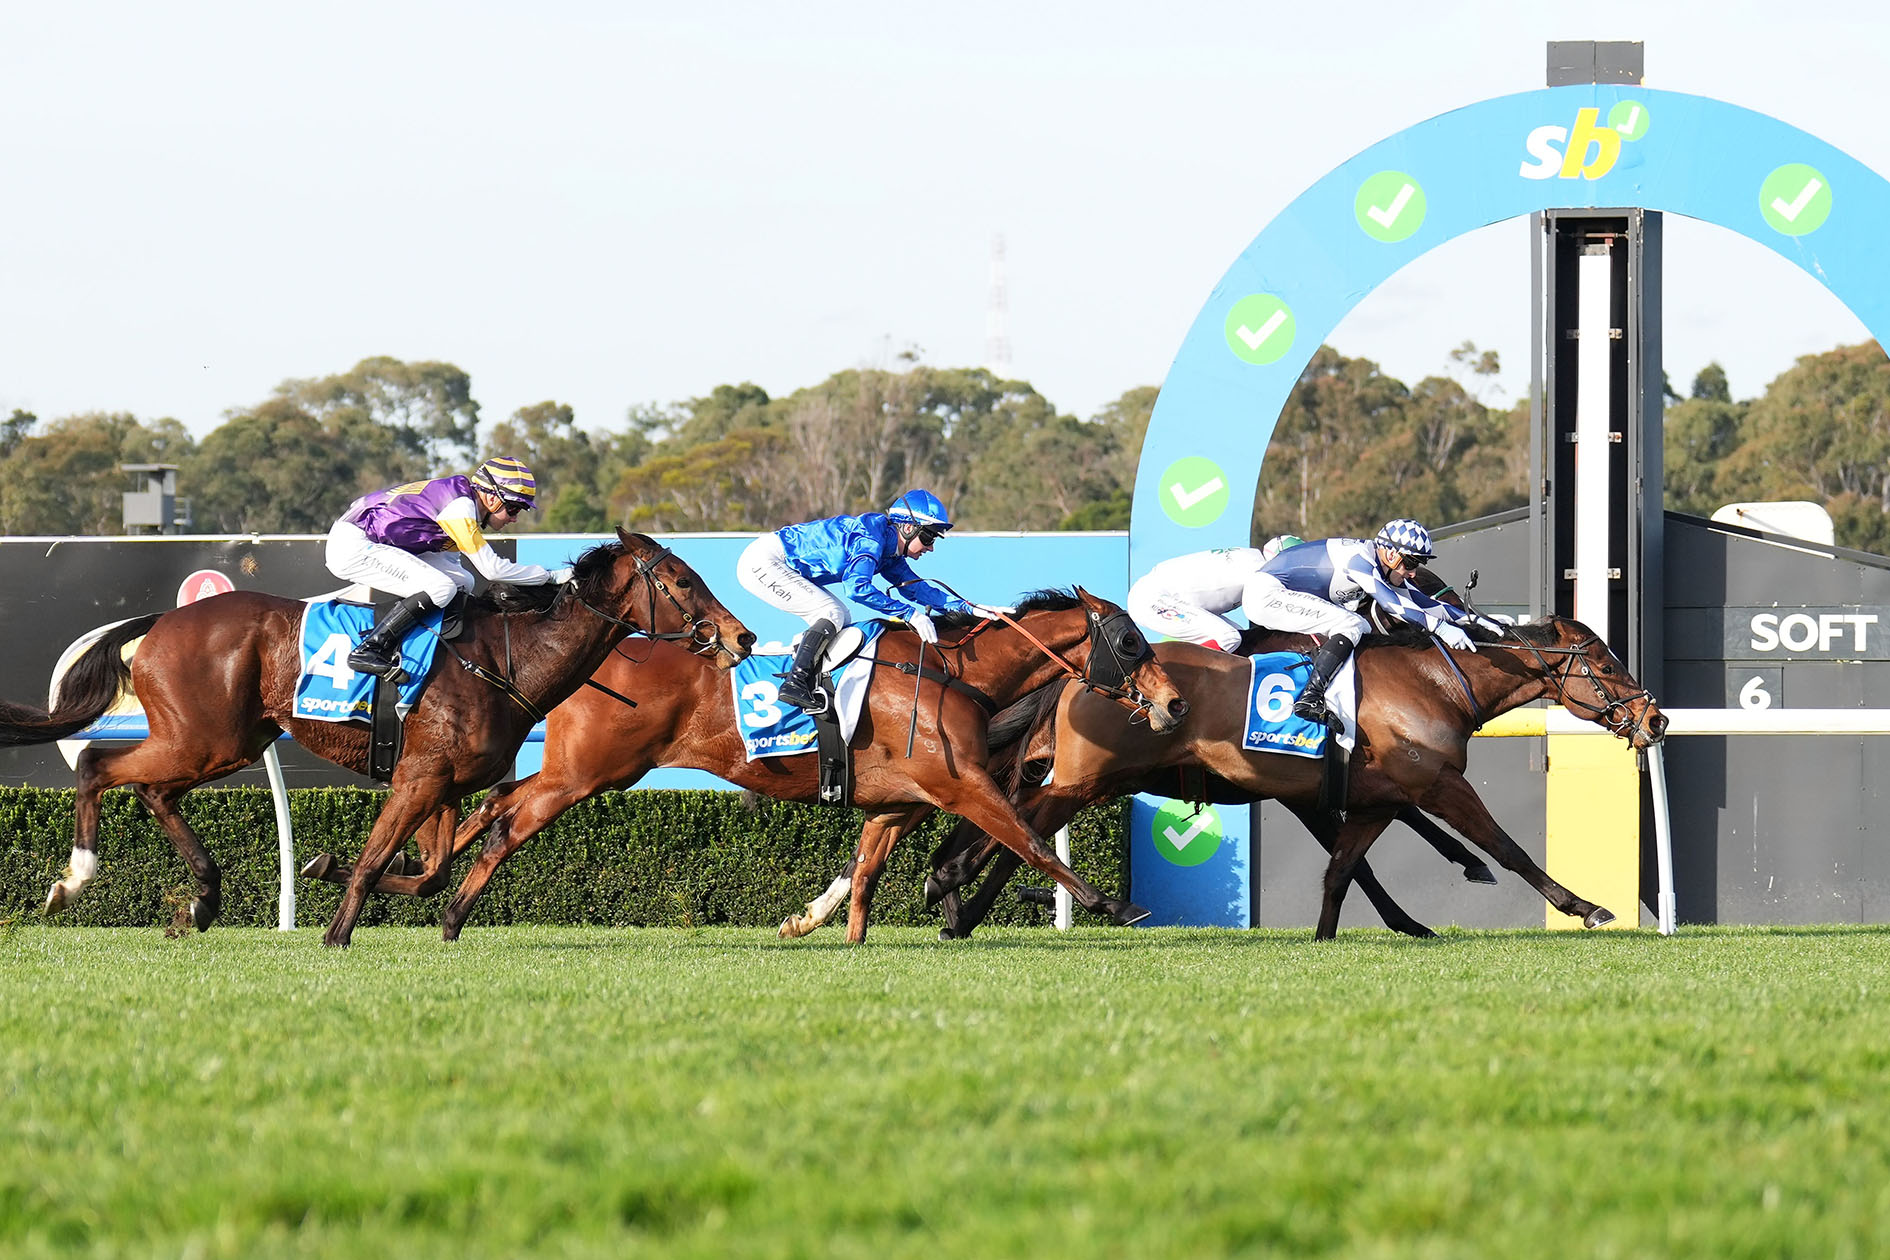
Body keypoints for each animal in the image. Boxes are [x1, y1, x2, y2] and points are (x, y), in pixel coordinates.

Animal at [0, 528, 752, 952]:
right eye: (682, 580)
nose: (741, 637)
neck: (508, 660)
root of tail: (163, 620)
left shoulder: (447, 784)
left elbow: (433, 872)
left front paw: (322, 868)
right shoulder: (417, 777)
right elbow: (377, 860)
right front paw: (335, 933)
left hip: (226, 742)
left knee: (152, 791)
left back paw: (203, 901)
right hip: (203, 738)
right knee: (98, 765)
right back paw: (74, 880)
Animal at [311, 585, 1194, 940]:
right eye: (1129, 642)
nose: (1175, 703)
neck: (950, 672)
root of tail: (599, 652)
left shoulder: (899, 800)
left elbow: (865, 871)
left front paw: (836, 932)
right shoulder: (962, 785)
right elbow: (1032, 843)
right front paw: (1115, 905)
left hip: (594, 770)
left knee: (494, 806)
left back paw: (364, 874)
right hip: (585, 775)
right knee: (506, 823)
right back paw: (442, 907)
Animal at [914, 615, 1670, 940]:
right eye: (1606, 664)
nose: (1656, 719)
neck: (1432, 682)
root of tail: (1083, 674)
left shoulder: (1374, 799)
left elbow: (1342, 868)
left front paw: (1330, 936)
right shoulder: (1435, 787)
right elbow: (1508, 850)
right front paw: (1586, 906)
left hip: (1084, 781)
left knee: (1006, 833)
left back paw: (956, 900)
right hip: (1083, 781)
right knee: (1015, 837)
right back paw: (966, 902)